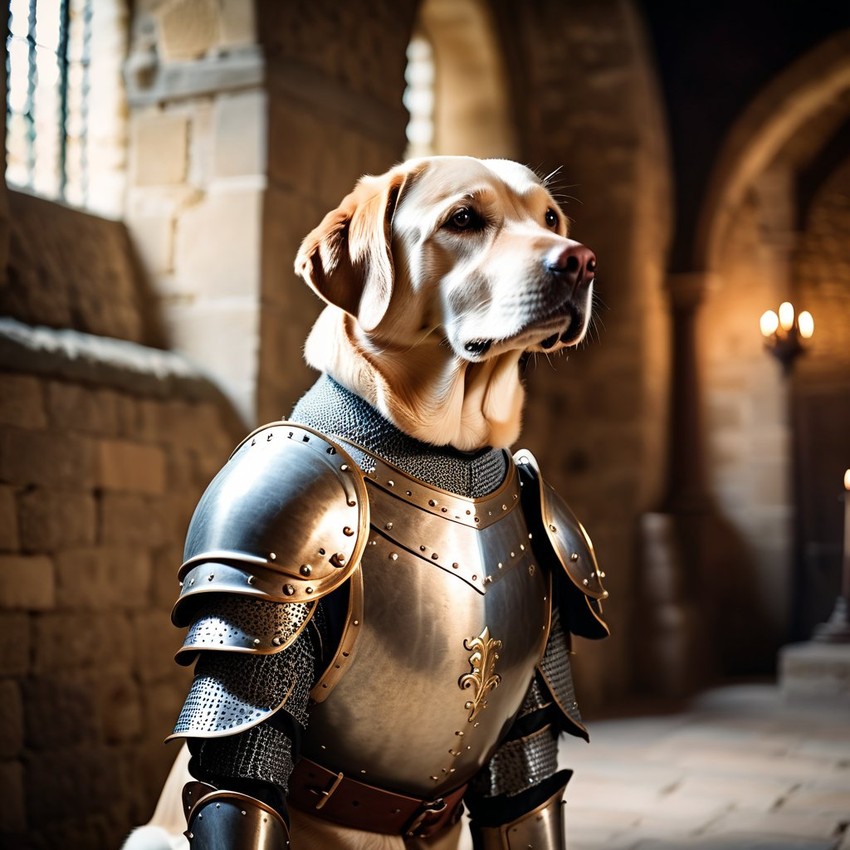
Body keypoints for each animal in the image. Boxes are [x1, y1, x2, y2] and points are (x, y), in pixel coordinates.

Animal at [126, 154, 600, 848]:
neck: (449, 456)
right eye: (464, 219)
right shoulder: (265, 572)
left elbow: (524, 786)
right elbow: (238, 783)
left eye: (551, 219)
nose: (581, 260)